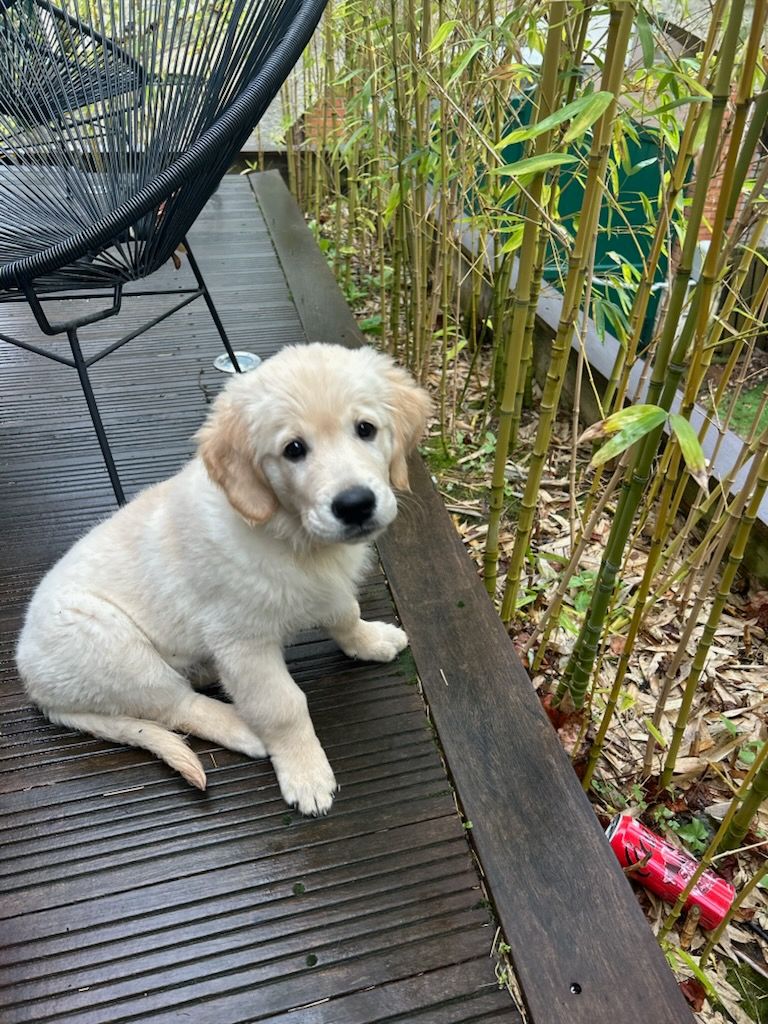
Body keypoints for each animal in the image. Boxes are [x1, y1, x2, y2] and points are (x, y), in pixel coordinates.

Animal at [16, 344, 434, 815]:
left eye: (366, 429)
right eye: (293, 449)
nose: (356, 505)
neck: (289, 534)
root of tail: (35, 688)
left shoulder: (329, 589)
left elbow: (346, 614)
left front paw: (370, 640)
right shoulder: (242, 641)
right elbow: (282, 706)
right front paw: (305, 772)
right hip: (112, 645)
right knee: (176, 705)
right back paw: (243, 727)